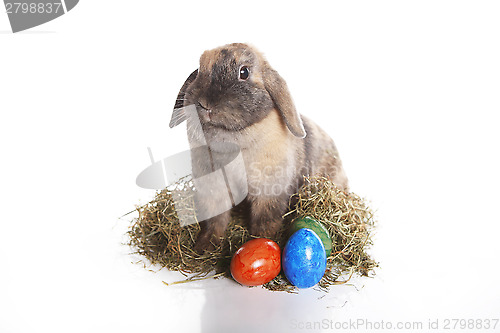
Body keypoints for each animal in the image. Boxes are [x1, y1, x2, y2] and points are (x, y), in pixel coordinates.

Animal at [169, 43, 348, 252]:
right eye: (199, 70)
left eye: (244, 72)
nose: (204, 104)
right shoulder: (214, 190)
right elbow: (216, 220)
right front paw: (204, 246)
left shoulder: (269, 191)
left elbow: (265, 219)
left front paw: (262, 240)